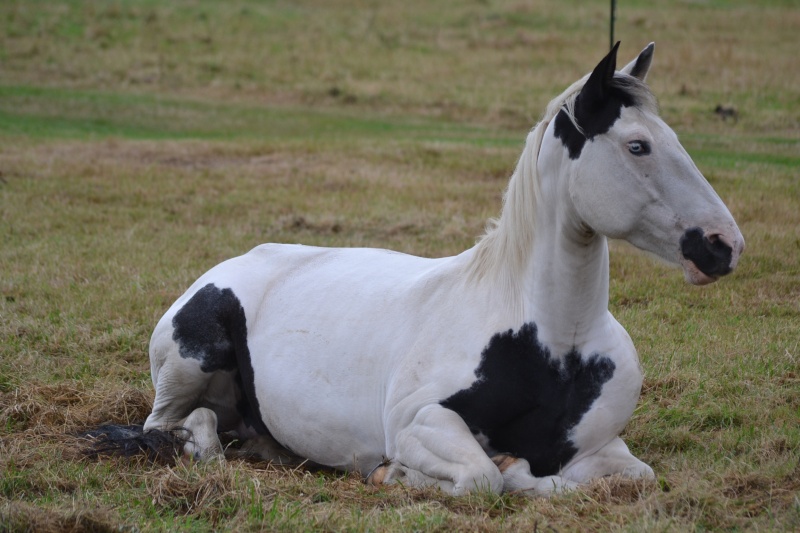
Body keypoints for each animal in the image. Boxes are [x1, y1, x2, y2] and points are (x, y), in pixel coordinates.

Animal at [87, 43, 744, 496]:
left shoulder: (602, 445)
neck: (555, 343)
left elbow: (634, 475)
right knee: (171, 425)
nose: (724, 245)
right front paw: (398, 475)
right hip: (185, 368)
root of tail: (231, 266)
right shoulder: (420, 423)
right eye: (637, 146)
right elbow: (485, 478)